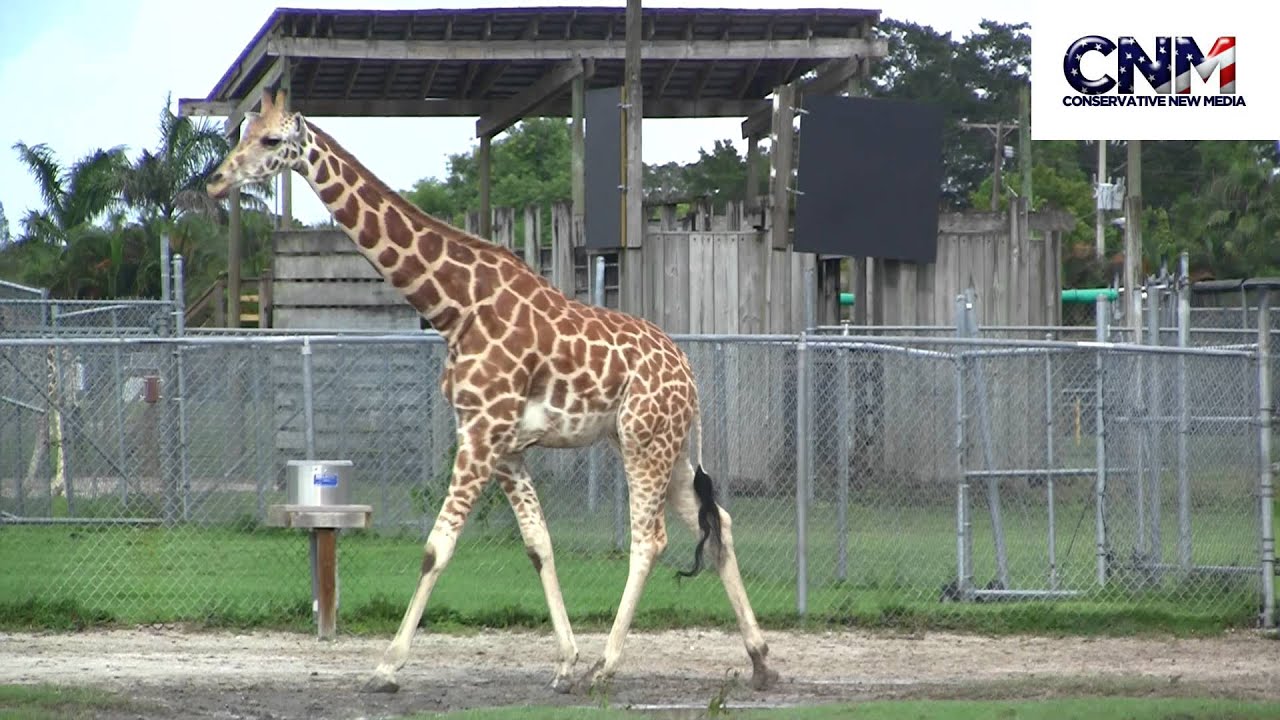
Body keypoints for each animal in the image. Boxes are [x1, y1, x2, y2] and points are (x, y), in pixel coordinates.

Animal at [206, 88, 778, 695]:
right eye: (241, 133)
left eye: (270, 139)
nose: (216, 180)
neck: (455, 307)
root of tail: (688, 372)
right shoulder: (503, 446)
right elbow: (537, 546)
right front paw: (564, 662)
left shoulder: (480, 434)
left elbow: (436, 548)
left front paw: (387, 666)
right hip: (662, 446)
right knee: (718, 526)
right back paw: (760, 660)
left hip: (645, 442)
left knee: (650, 539)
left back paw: (607, 666)